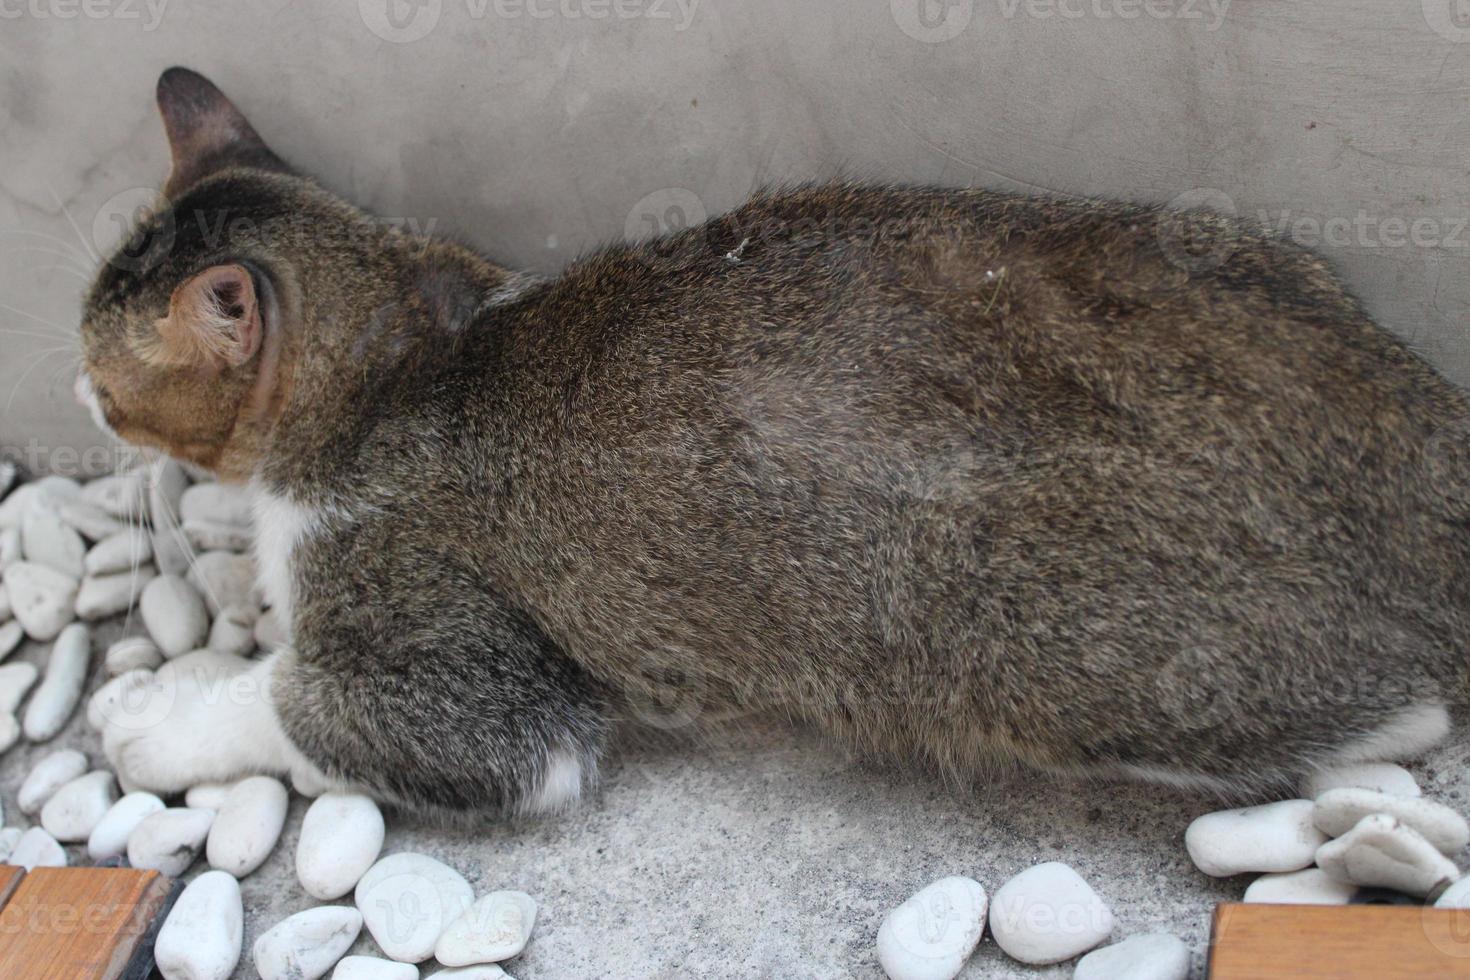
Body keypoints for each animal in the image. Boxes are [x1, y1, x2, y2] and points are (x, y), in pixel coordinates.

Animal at [77, 69, 1470, 816]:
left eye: (100, 369)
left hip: (1009, 614)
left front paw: (157, 714)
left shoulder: (480, 685)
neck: (402, 347)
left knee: (1378, 705)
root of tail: (1424, 430)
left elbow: (296, 699)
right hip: (1232, 247)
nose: (78, 397)